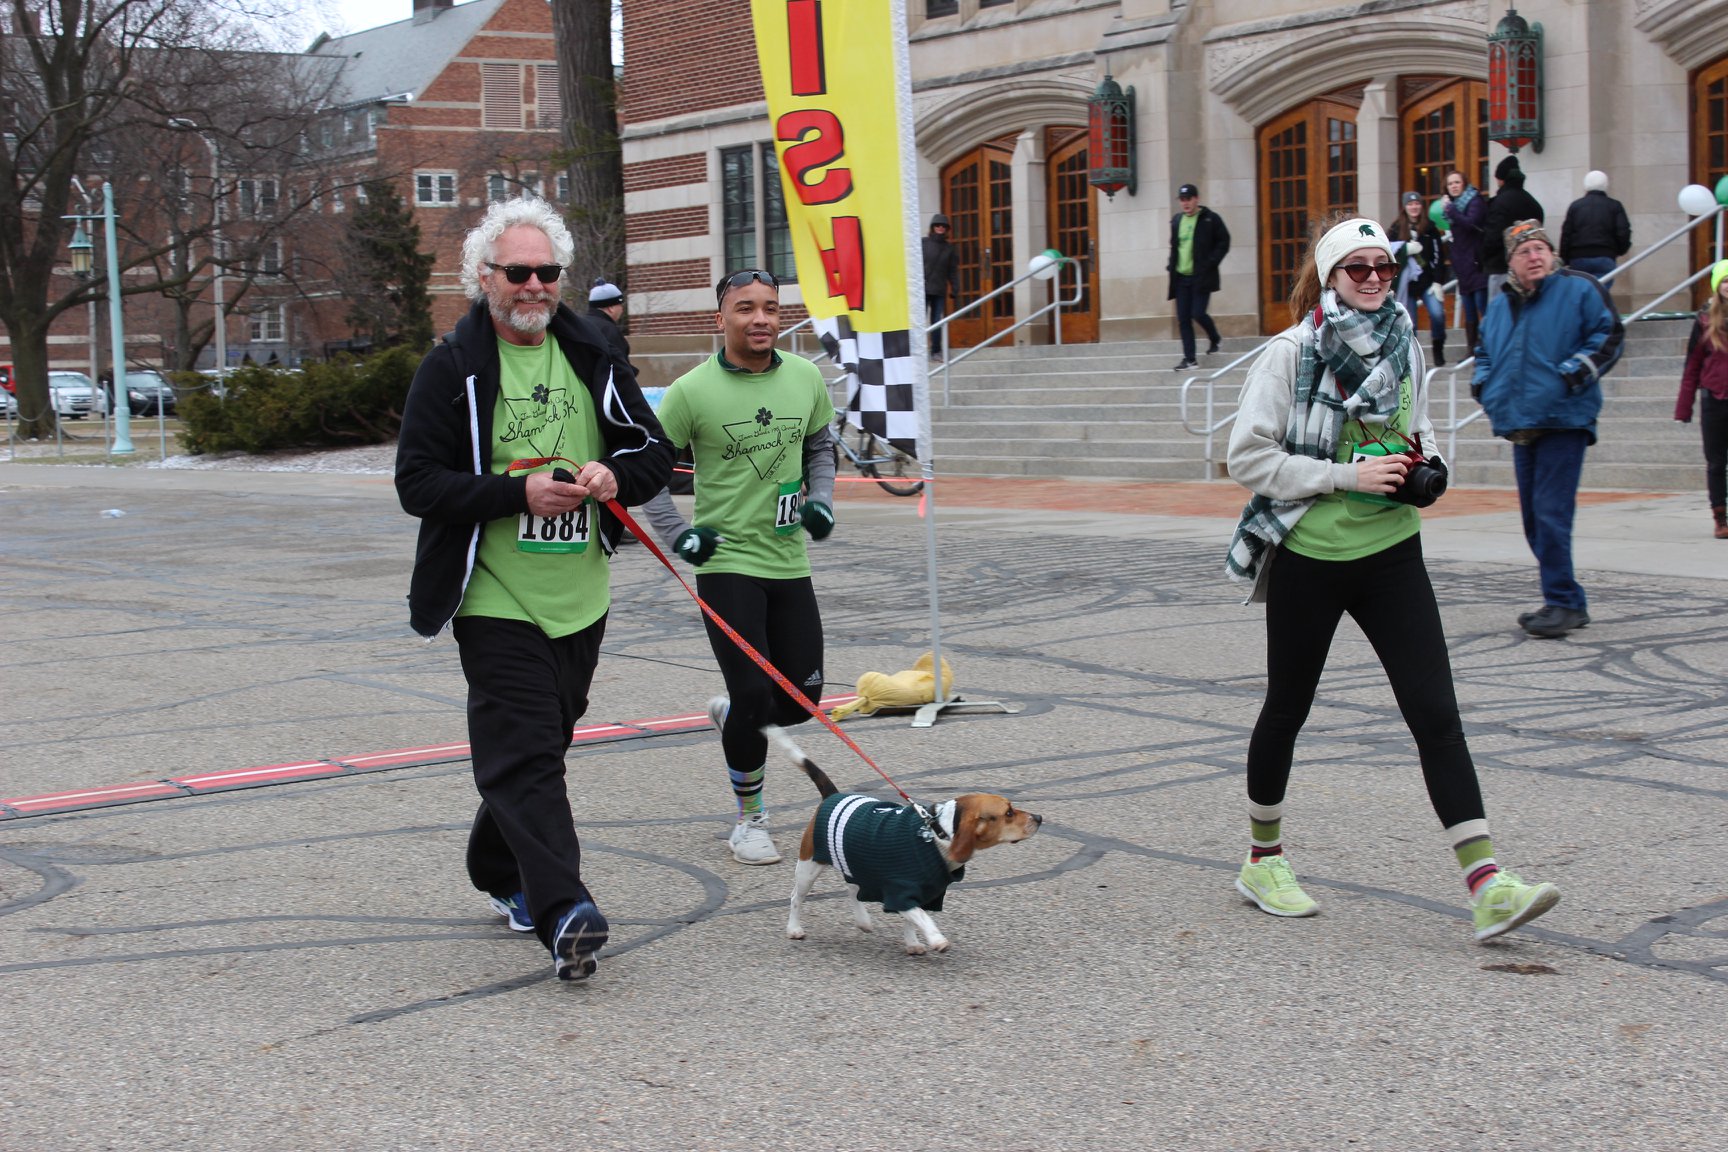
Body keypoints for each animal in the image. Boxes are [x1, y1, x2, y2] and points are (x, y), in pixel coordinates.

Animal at [767, 725, 1036, 953]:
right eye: (1008, 813)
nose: (1040, 817)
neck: (937, 832)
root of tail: (832, 795)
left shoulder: (923, 893)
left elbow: (912, 920)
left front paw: (913, 943)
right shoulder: (901, 893)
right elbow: (920, 917)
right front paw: (936, 939)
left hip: (855, 863)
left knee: (852, 889)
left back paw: (862, 920)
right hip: (809, 867)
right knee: (797, 897)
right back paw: (794, 928)